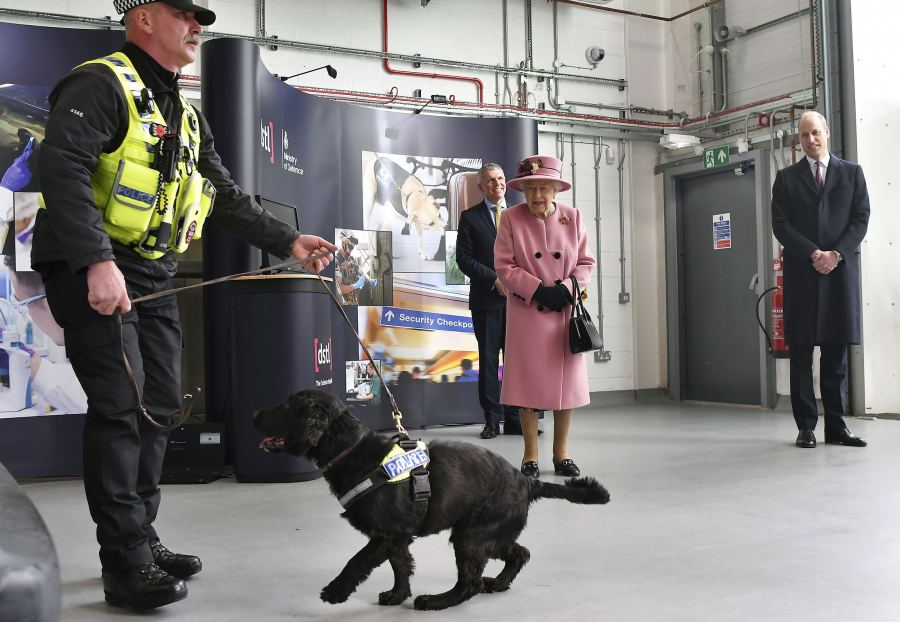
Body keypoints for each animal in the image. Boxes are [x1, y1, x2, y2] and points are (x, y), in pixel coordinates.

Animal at [253, 392, 612, 612]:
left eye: (287, 408)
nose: (255, 413)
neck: (353, 451)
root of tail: (526, 480)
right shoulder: (397, 536)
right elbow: (401, 565)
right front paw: (397, 594)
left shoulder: (386, 534)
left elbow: (356, 561)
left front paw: (336, 591)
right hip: (489, 534)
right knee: (519, 552)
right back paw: (498, 583)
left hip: (471, 535)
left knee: (469, 582)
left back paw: (437, 601)